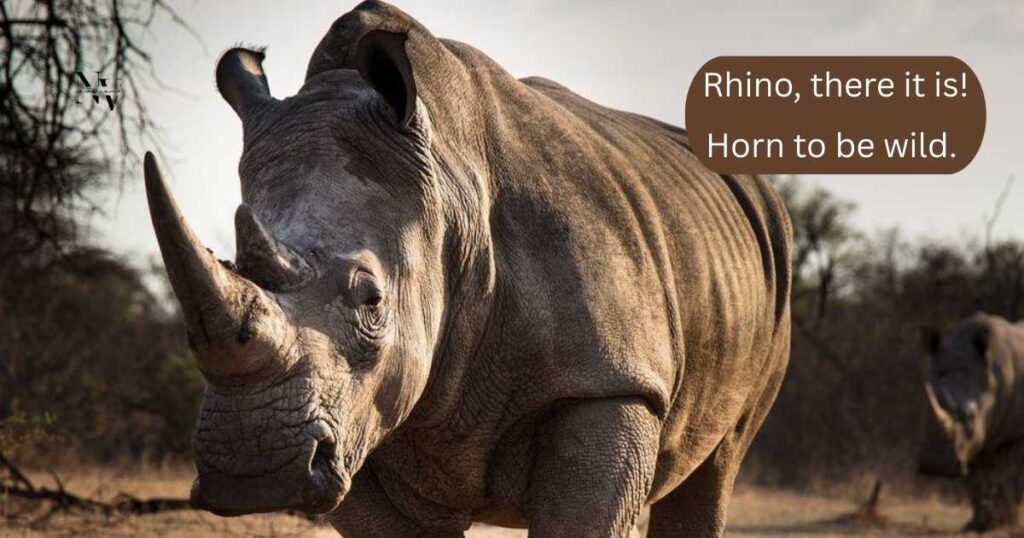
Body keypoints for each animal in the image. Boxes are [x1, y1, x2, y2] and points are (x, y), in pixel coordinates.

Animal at [144, 2, 792, 536]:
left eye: (371, 299)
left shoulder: (609, 382)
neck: (450, 191)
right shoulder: (358, 423)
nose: (252, 472)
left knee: (719, 462)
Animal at [919, 313, 1024, 531]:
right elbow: (976, 482)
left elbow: (1014, 477)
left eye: (970, 416)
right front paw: (978, 525)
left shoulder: (1018, 432)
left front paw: (1008, 524)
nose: (933, 466)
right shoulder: (970, 443)